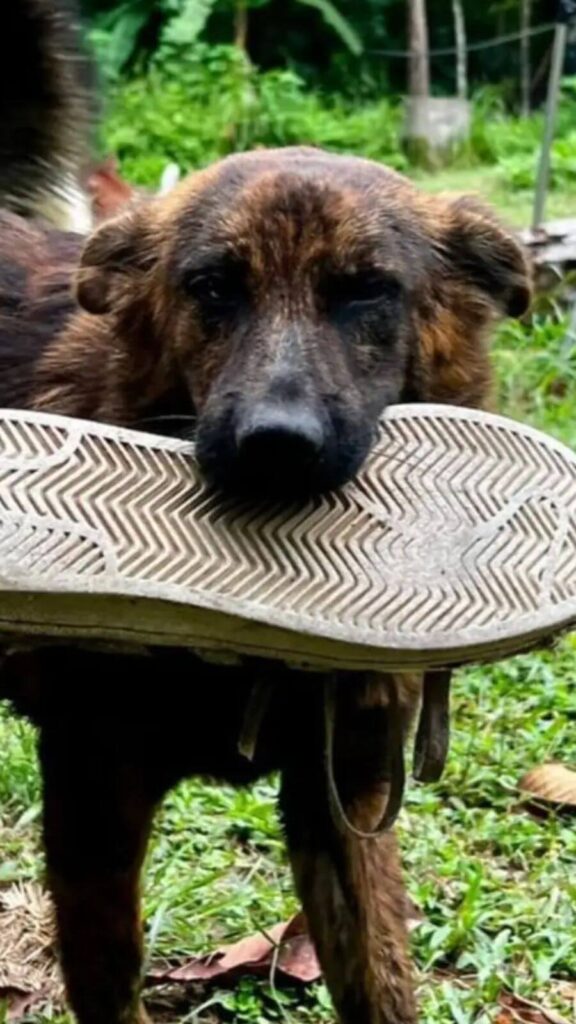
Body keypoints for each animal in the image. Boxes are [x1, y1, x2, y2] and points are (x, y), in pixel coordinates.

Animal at [0, 4, 528, 1019]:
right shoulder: (90, 786)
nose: (275, 444)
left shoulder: (349, 793)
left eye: (367, 291)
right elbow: (110, 975)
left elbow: (381, 979)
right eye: (212, 287)